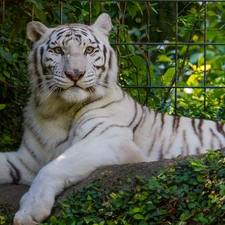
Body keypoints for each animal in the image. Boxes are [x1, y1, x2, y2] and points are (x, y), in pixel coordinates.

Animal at [0, 13, 224, 224]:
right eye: (58, 51)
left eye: (89, 50)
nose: (75, 74)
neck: (56, 110)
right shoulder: (28, 159)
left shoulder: (110, 140)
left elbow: (53, 167)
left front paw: (29, 211)